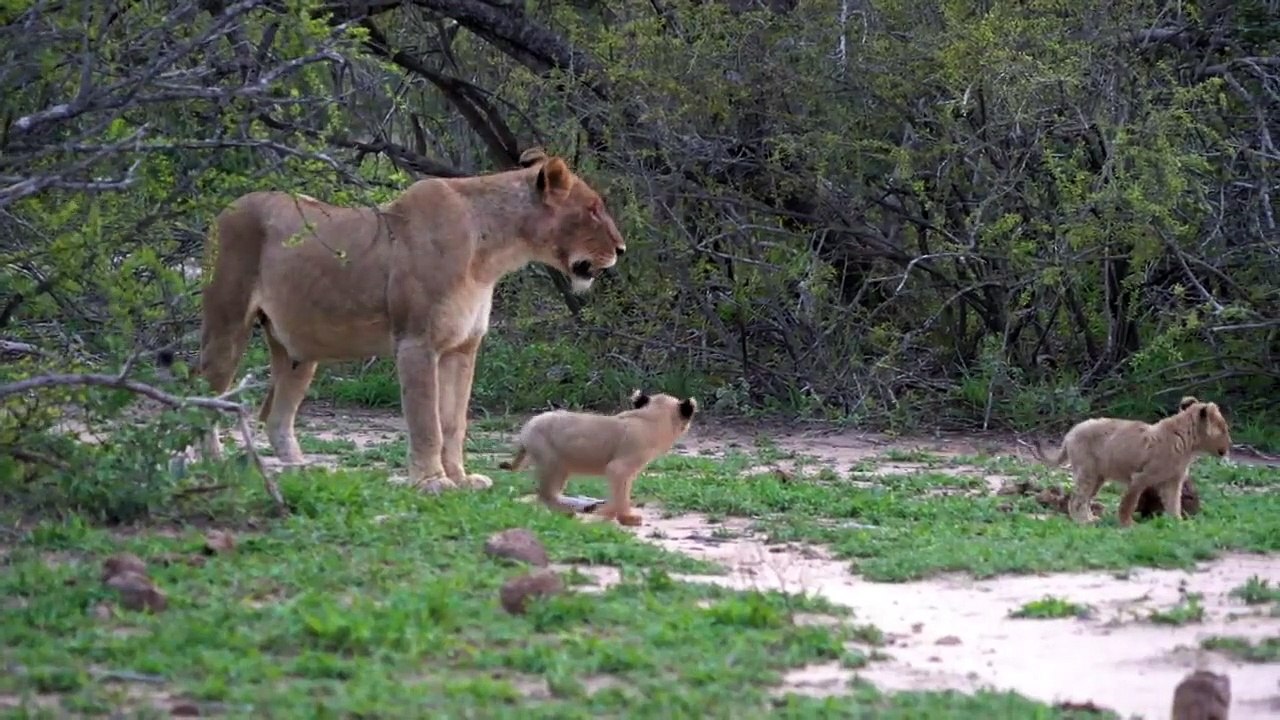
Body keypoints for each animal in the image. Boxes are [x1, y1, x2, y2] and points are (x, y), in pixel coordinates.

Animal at [196, 148, 626, 493]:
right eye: (592, 209)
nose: (622, 249)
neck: (491, 255)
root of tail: (226, 209)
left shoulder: (462, 349)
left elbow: (454, 422)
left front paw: (461, 478)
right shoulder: (418, 343)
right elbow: (426, 421)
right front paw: (432, 481)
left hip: (297, 349)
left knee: (276, 416)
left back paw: (301, 472)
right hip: (227, 323)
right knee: (201, 398)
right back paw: (211, 463)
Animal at [498, 390, 698, 526]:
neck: (654, 417)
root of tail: (526, 428)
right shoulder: (620, 467)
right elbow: (621, 493)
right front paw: (625, 517)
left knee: (548, 494)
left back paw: (584, 506)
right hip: (554, 461)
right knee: (546, 494)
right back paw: (573, 511)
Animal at [1030, 396, 1231, 526]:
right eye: (1224, 429)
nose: (1230, 444)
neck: (1188, 444)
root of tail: (1070, 433)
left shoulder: (1172, 481)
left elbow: (1174, 503)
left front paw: (1178, 523)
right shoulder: (1140, 477)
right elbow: (1129, 502)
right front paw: (1127, 524)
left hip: (1098, 477)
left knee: (1084, 499)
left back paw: (1090, 519)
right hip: (1087, 472)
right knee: (1077, 499)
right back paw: (1083, 522)